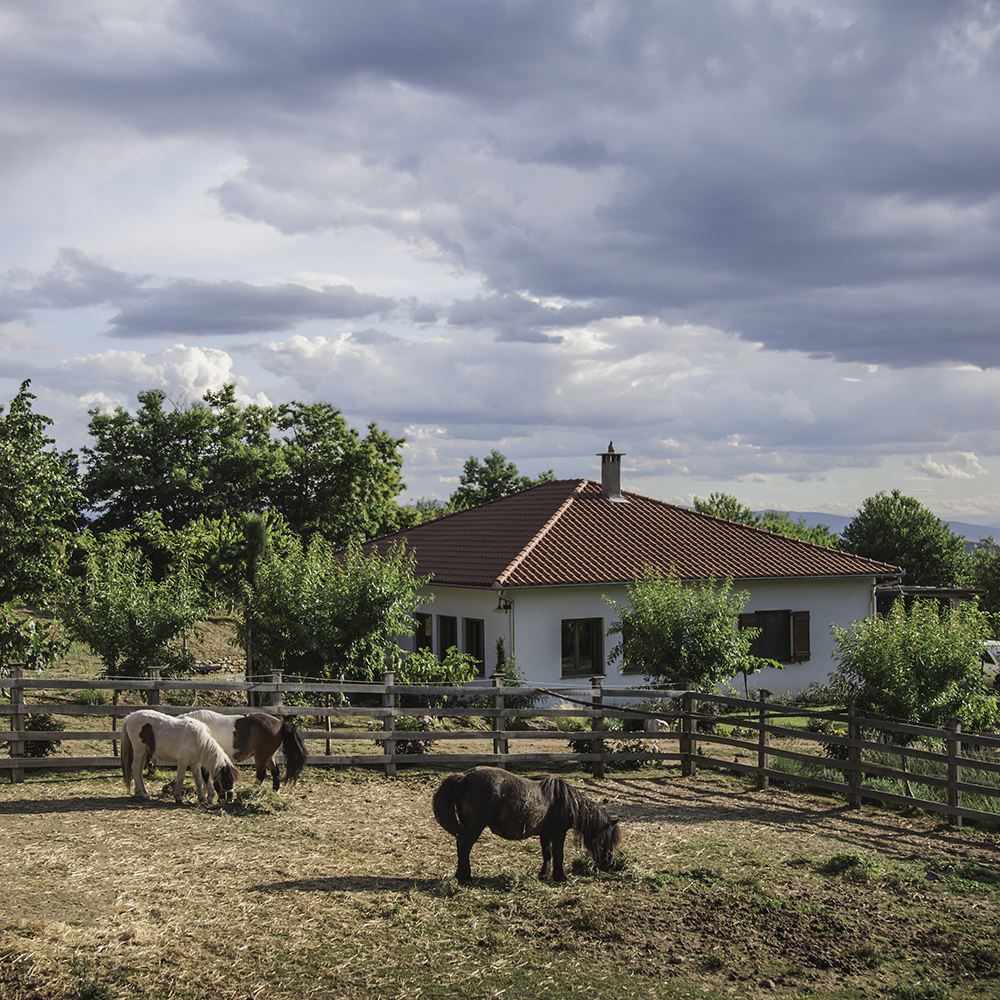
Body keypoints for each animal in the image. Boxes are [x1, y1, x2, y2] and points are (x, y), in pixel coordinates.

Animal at [432, 764, 620, 884]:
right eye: (608, 839)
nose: (611, 864)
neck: (563, 801)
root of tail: (466, 777)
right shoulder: (558, 834)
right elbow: (558, 854)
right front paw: (560, 877)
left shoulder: (545, 834)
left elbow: (547, 854)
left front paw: (544, 875)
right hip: (476, 826)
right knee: (465, 845)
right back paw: (464, 877)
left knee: (461, 844)